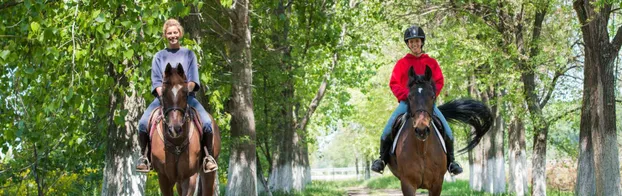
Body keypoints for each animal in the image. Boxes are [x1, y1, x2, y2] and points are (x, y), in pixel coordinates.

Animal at [149, 63, 222, 195]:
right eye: (164, 93)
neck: (176, 142)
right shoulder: (164, 177)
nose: (175, 129)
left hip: (208, 172)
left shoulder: (189, 176)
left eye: (185, 93)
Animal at [388, 66, 494, 196]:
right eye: (409, 97)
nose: (421, 130)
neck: (422, 150)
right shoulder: (407, 184)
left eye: (432, 96)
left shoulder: (437, 184)